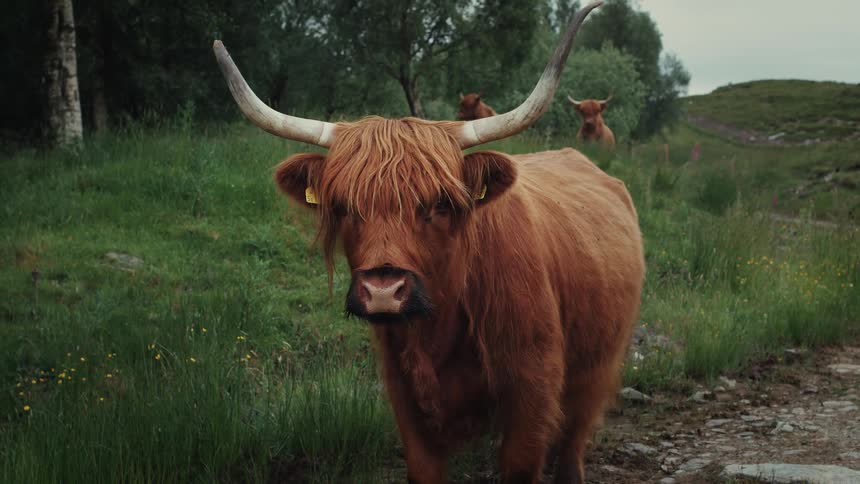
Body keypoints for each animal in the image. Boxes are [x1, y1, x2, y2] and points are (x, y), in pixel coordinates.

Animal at [213, 2, 643, 483]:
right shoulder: (406, 401)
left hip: (596, 366)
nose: (383, 291)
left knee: (573, 440)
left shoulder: (532, 393)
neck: (440, 326)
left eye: (439, 203)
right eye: (342, 205)